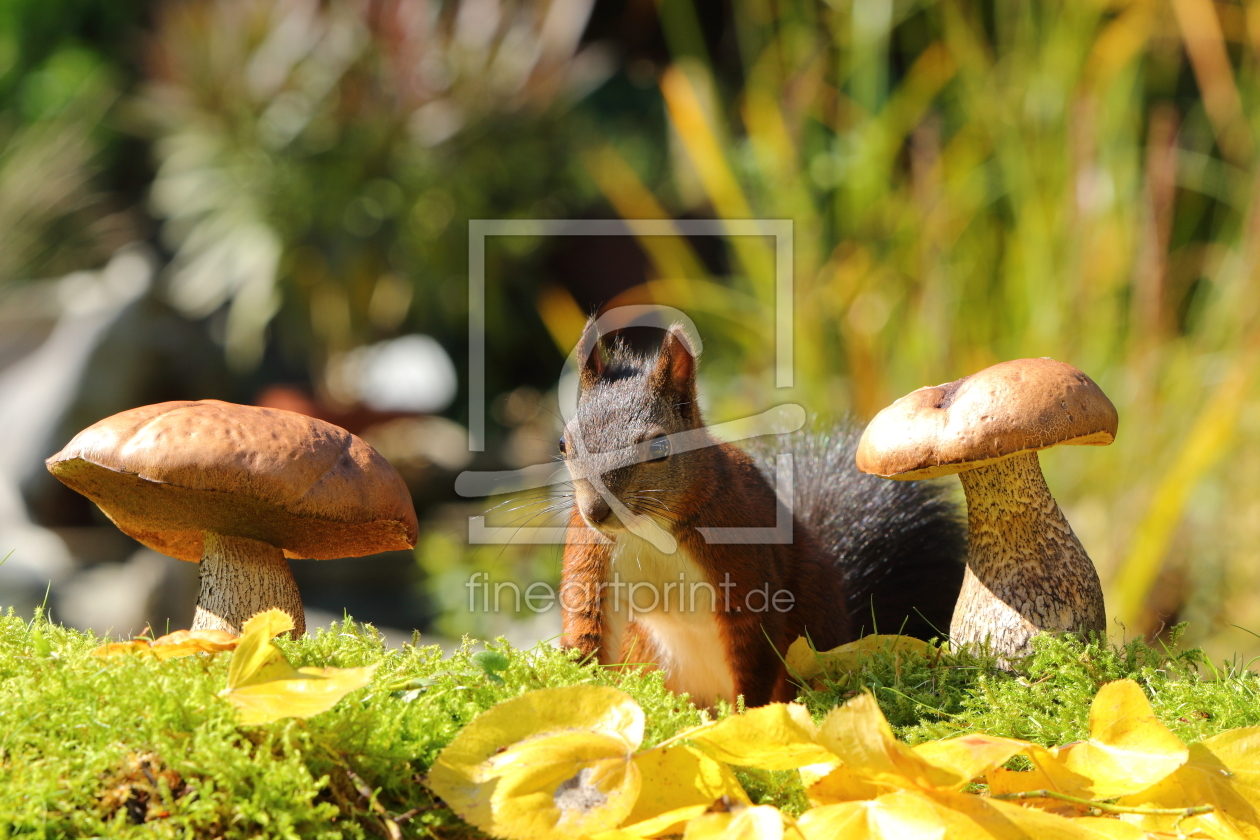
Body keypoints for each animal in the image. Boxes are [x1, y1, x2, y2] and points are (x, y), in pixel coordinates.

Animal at [561, 324, 962, 710]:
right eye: (565, 444)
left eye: (659, 448)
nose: (596, 511)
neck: (647, 531)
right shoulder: (593, 554)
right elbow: (587, 622)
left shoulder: (741, 556)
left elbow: (754, 644)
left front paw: (746, 715)